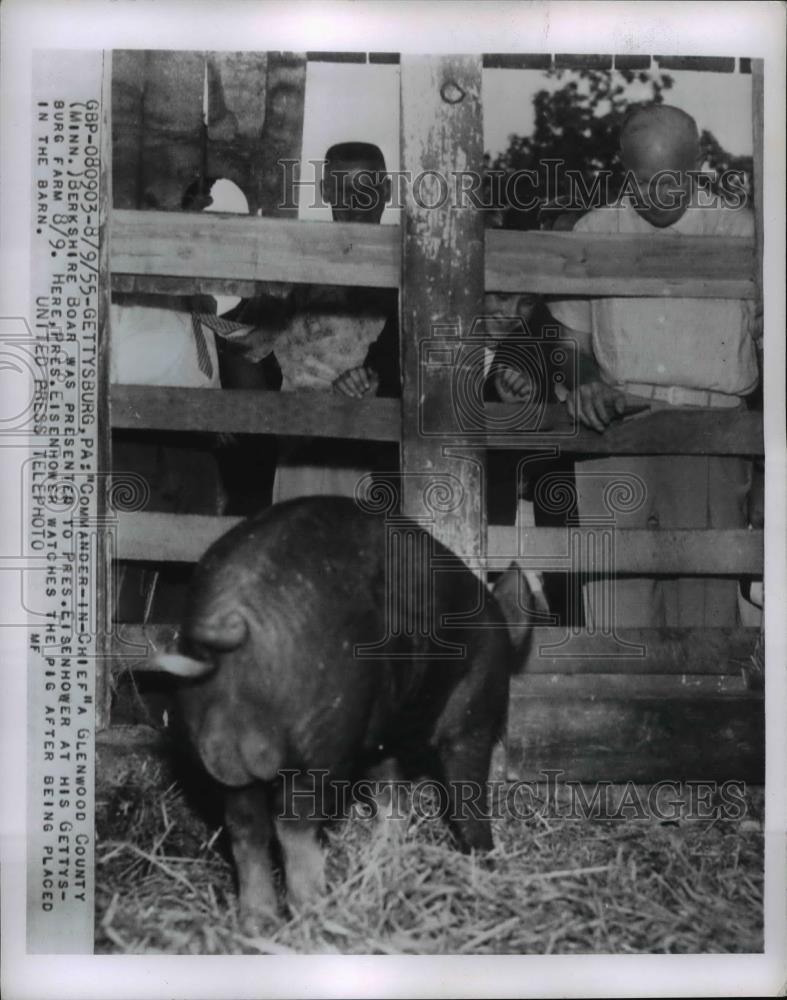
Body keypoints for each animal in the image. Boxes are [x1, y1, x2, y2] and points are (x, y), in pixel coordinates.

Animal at [154, 494, 536, 928]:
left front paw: (387, 859)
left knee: (245, 827)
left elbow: (391, 797)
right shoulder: (471, 713)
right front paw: (487, 865)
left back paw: (260, 920)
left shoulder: (381, 736)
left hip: (208, 735)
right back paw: (316, 910)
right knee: (293, 824)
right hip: (322, 736)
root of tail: (230, 618)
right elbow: (465, 791)